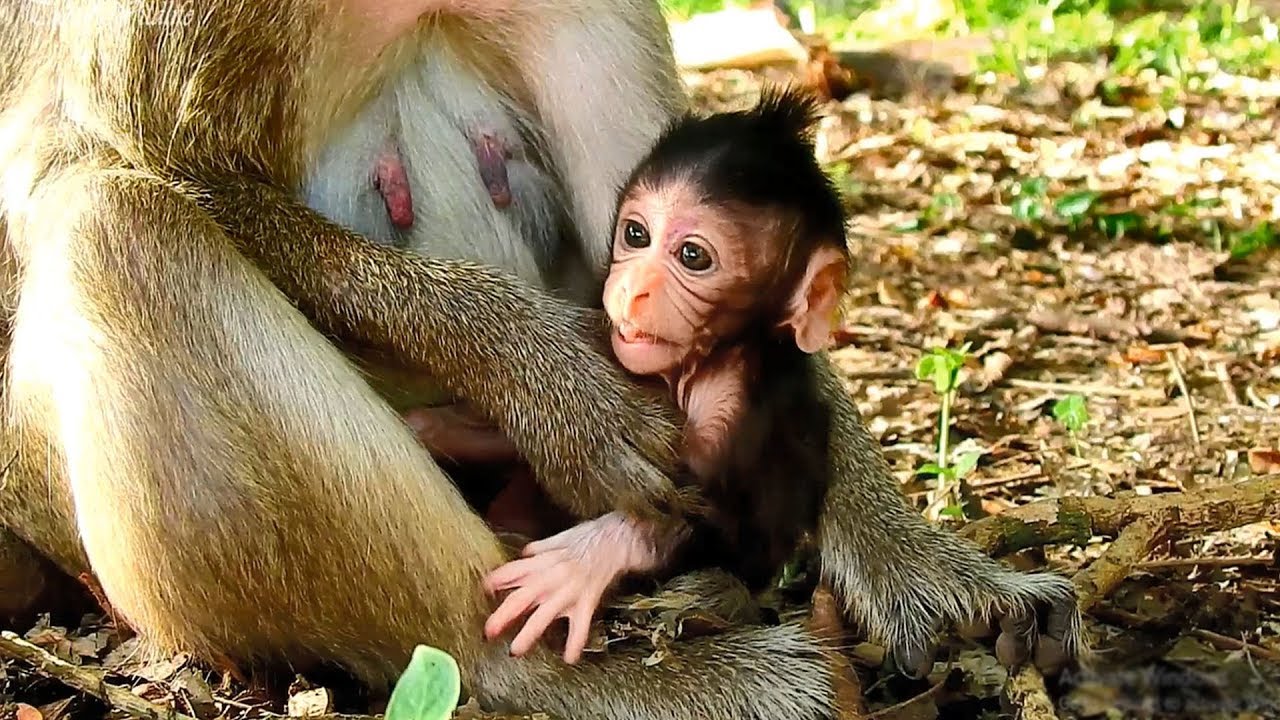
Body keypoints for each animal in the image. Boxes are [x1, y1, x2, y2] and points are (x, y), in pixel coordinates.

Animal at [0, 1, 1080, 718]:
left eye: (682, 254)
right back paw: (580, 670)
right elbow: (112, 156)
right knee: (117, 224)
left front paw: (925, 572)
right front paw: (551, 383)